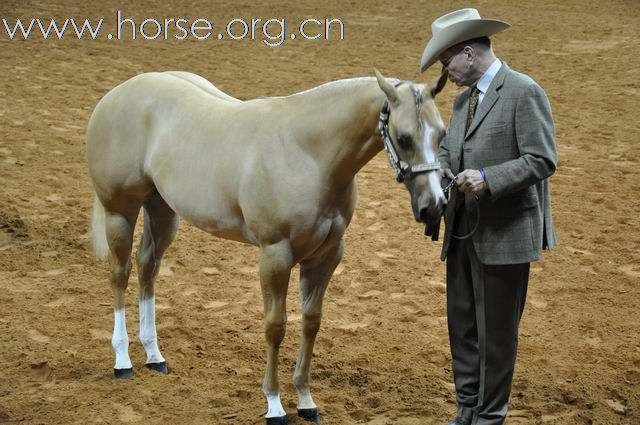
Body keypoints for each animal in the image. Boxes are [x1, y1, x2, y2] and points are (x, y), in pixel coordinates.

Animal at [85, 68, 448, 422]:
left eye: (441, 134)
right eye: (404, 138)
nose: (434, 206)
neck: (308, 153)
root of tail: (116, 95)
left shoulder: (326, 255)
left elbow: (311, 322)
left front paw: (306, 400)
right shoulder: (275, 254)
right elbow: (276, 326)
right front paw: (274, 405)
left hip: (162, 209)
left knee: (148, 267)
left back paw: (154, 355)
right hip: (120, 211)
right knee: (120, 273)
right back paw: (123, 361)